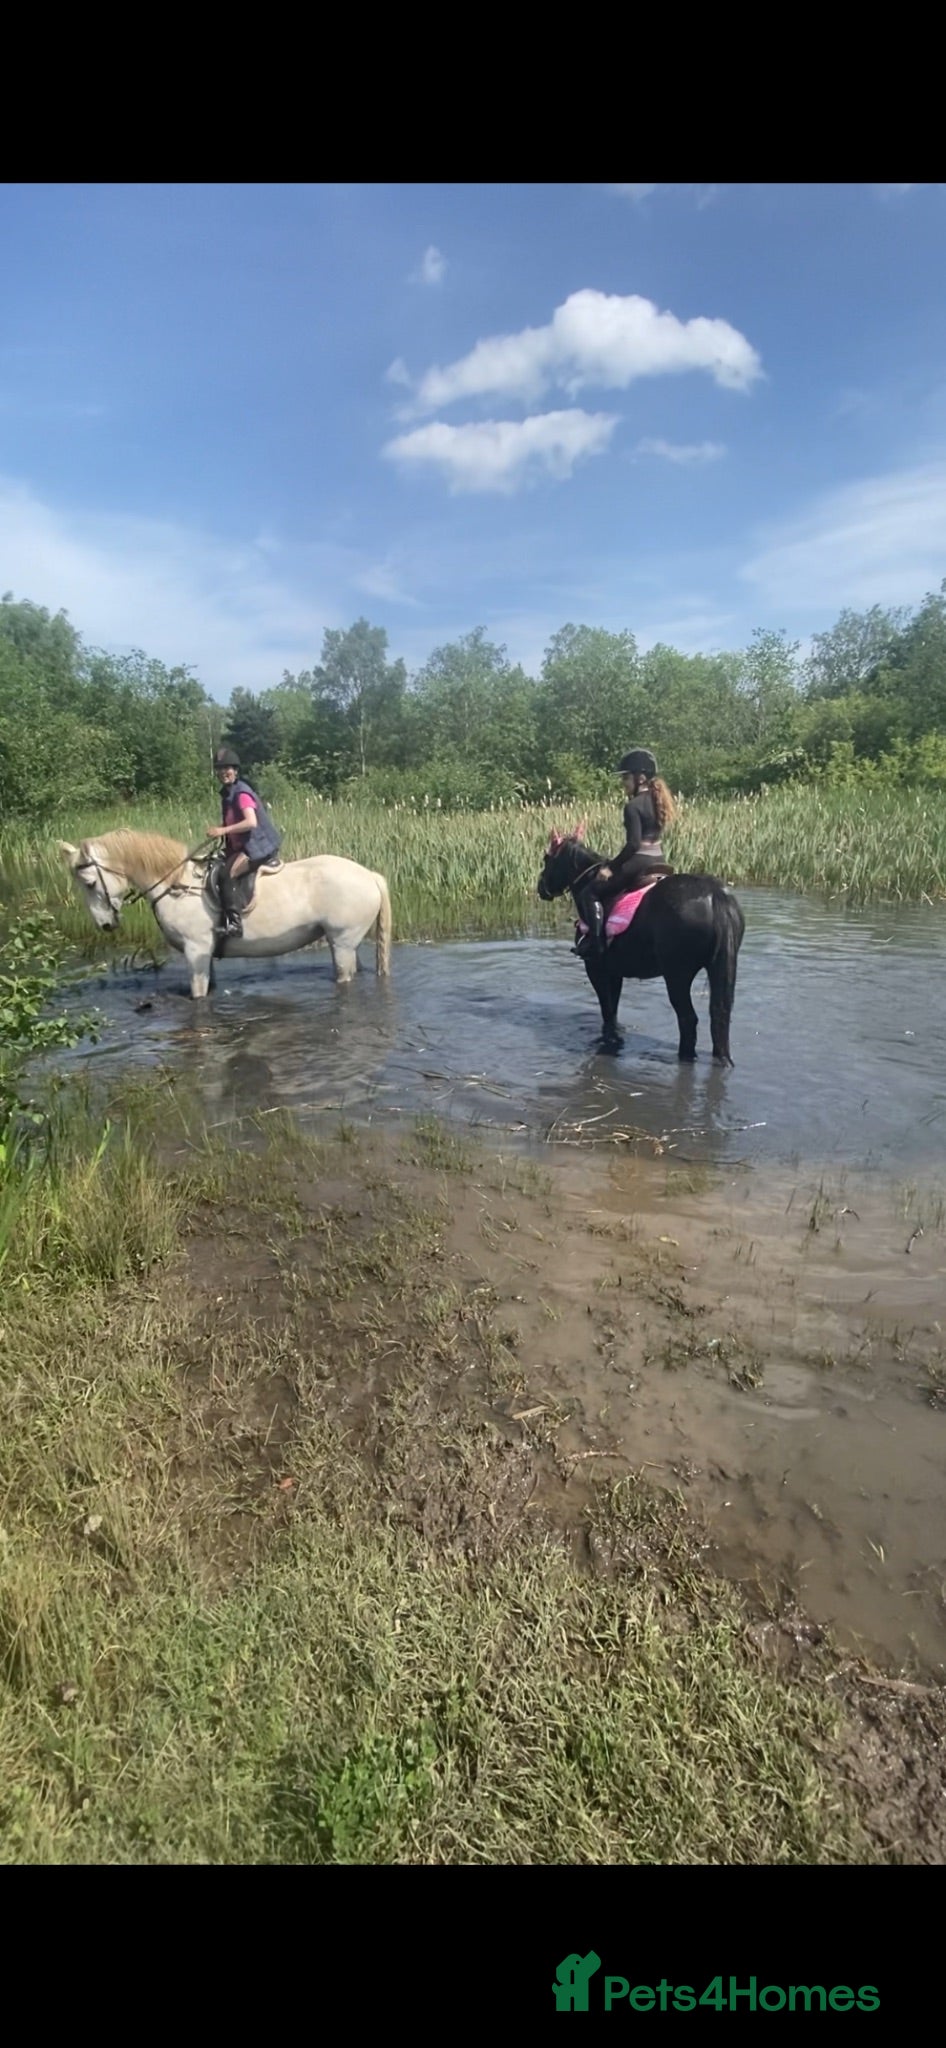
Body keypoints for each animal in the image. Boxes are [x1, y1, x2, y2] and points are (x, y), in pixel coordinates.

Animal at [58, 830, 393, 999]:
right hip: (346, 943)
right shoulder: (203, 954)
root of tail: (370, 875)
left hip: (342, 943)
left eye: (89, 883)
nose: (105, 925)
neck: (176, 884)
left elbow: (198, 995)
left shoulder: (195, 951)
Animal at [537, 826, 745, 1064]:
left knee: (688, 1019)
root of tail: (715, 895)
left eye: (546, 858)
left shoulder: (596, 968)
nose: (540, 887)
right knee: (719, 1016)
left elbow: (607, 1010)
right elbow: (613, 1010)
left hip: (677, 975)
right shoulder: (614, 971)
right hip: (718, 966)